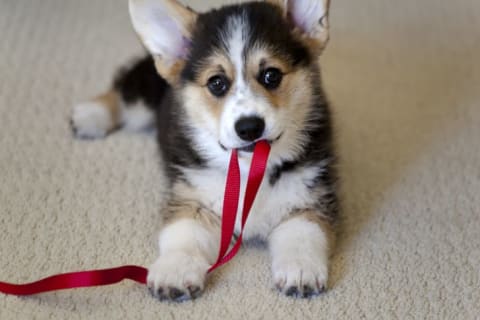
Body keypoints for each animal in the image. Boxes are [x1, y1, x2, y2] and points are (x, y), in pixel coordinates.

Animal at [71, 0, 338, 302]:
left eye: (271, 75)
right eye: (216, 83)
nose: (249, 127)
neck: (248, 168)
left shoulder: (310, 199)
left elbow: (303, 235)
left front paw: (301, 270)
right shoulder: (192, 200)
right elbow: (184, 237)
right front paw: (175, 270)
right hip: (144, 92)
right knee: (123, 94)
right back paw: (90, 115)